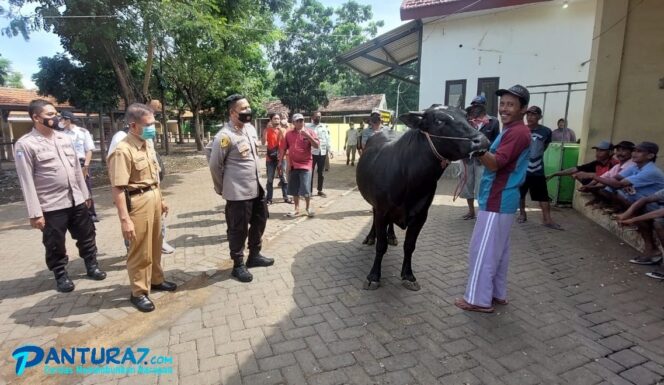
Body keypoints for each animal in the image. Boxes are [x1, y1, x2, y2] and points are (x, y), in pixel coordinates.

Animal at [356, 103, 490, 290]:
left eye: (466, 117)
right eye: (440, 120)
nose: (482, 141)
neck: (409, 179)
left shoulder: (421, 216)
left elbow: (410, 246)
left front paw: (408, 275)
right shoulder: (382, 210)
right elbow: (380, 246)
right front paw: (373, 276)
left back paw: (392, 236)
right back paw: (370, 237)